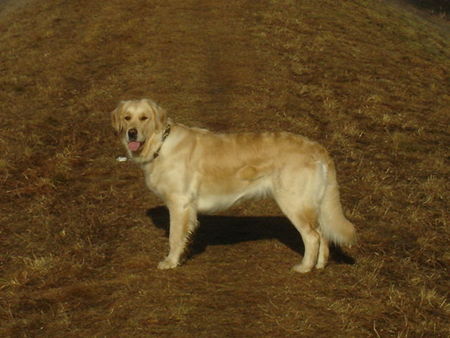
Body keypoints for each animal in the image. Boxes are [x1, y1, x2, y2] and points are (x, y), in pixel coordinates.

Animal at [111, 97, 356, 272]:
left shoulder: (180, 203)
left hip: (293, 202)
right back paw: (321, 265)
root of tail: (317, 147)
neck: (160, 144)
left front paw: (170, 262)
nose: (132, 133)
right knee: (322, 233)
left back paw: (305, 267)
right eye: (127, 118)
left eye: (144, 118)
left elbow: (174, 236)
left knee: (312, 237)